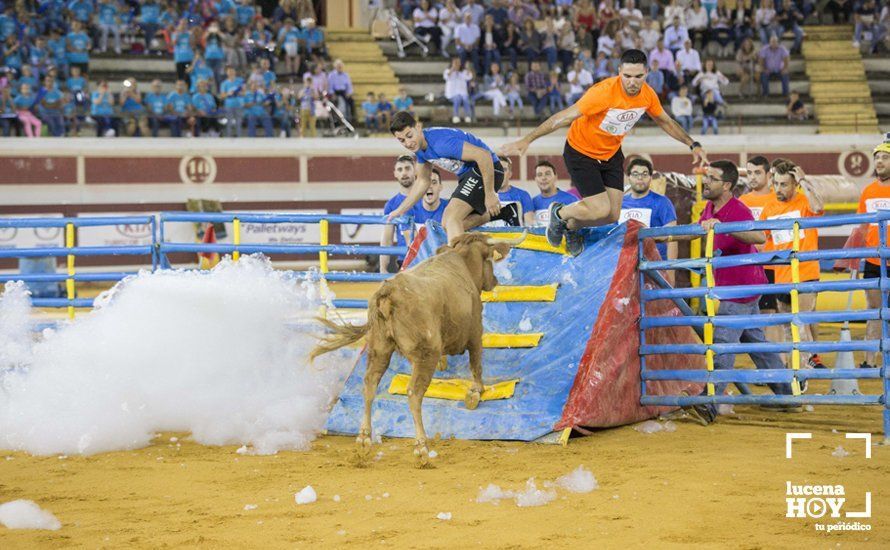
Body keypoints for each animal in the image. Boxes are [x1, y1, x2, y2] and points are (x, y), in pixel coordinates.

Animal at [308, 234, 512, 470]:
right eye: (489, 261)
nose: (494, 281)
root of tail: (388, 292)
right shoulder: (475, 332)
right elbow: (476, 364)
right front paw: (476, 391)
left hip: (379, 349)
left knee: (370, 384)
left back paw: (364, 440)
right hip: (425, 356)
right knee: (414, 393)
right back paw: (421, 448)